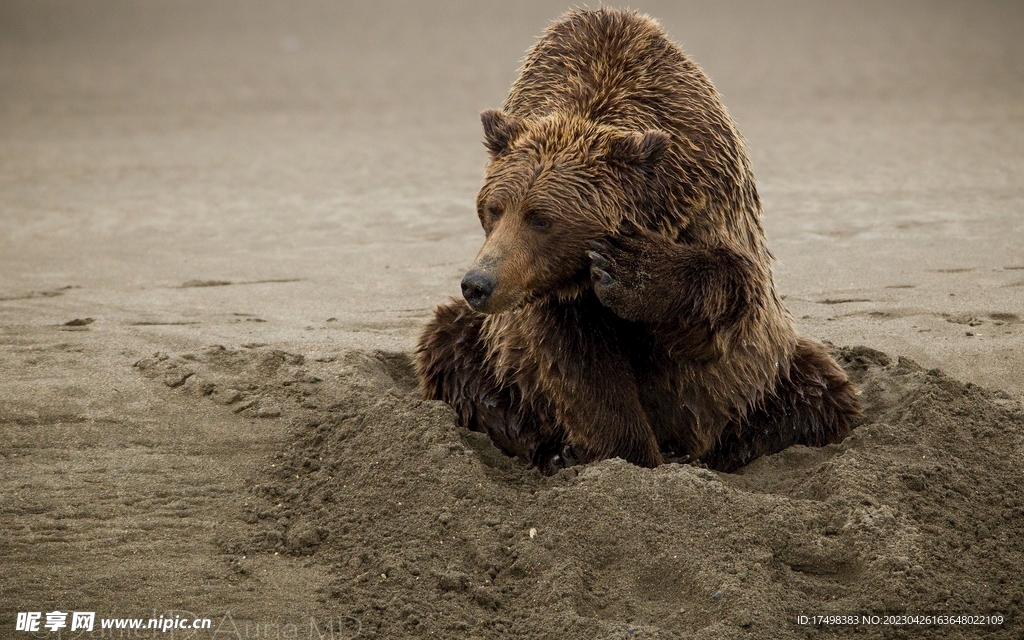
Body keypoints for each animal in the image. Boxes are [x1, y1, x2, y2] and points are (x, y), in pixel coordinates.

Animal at [413, 7, 856, 471]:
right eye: (493, 209)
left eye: (541, 219)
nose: (478, 284)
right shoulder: (555, 298)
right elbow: (582, 368)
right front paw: (628, 453)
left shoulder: (705, 194)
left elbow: (729, 290)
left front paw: (630, 271)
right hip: (490, 351)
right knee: (449, 346)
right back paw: (554, 451)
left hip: (768, 375)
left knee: (817, 394)